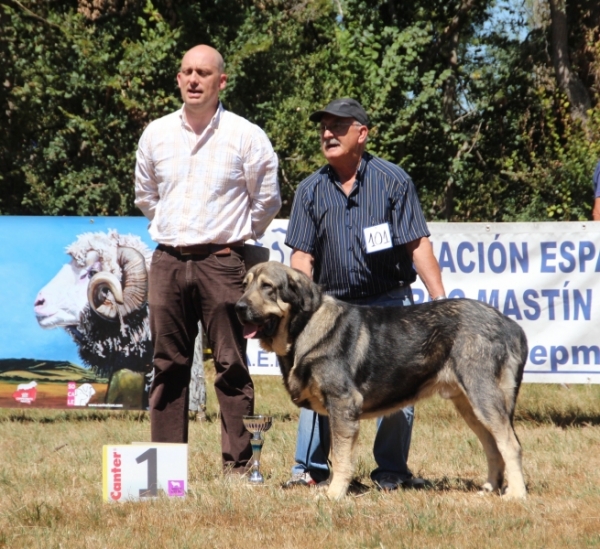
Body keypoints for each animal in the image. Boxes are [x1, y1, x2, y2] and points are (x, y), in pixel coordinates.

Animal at [234, 262, 524, 500]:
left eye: (268, 287)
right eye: (245, 286)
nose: (238, 307)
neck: (305, 326)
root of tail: (508, 323)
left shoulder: (343, 404)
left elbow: (341, 458)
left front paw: (333, 495)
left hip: (483, 397)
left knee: (510, 445)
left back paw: (516, 494)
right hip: (469, 406)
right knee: (492, 447)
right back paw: (490, 489)